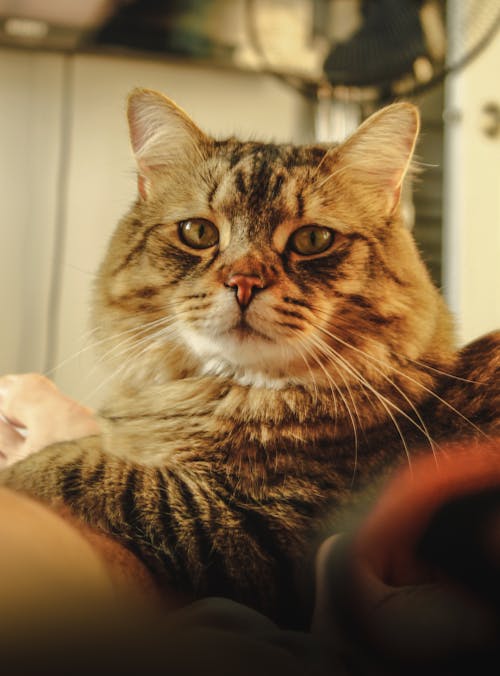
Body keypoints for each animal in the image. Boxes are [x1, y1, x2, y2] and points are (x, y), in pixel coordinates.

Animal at [0, 88, 498, 628]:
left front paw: (25, 463)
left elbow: (90, 469)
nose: (243, 282)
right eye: (198, 232)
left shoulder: (260, 534)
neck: (226, 392)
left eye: (312, 240)